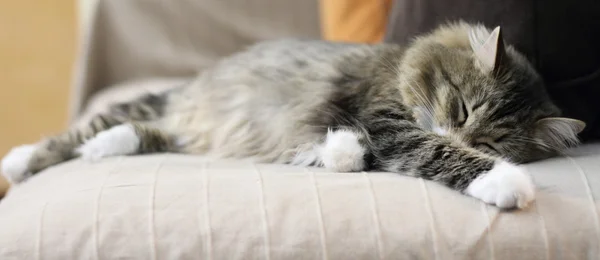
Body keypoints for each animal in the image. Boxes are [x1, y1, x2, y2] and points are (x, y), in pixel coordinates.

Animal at [1, 20, 584, 209]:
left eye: (486, 141)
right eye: (460, 108)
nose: (450, 128)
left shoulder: (368, 130)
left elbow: (342, 152)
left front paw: (339, 152)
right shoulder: (386, 120)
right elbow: (427, 150)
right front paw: (506, 183)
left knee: (130, 133)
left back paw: (99, 150)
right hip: (161, 105)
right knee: (76, 133)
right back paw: (20, 161)